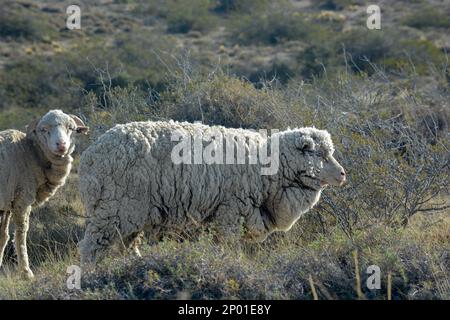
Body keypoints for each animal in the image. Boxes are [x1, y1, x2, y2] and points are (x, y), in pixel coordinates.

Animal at [0, 109, 88, 278]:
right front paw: (26, 273)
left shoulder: (6, 203)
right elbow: (20, 234)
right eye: (44, 130)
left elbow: (3, 236)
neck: (31, 153)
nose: (61, 145)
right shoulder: (22, 199)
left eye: (71, 128)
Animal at [79, 120, 346, 264]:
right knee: (91, 248)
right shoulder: (230, 212)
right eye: (321, 154)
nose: (343, 174)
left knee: (127, 246)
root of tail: (90, 157)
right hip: (114, 209)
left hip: (130, 214)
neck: (270, 167)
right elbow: (229, 247)